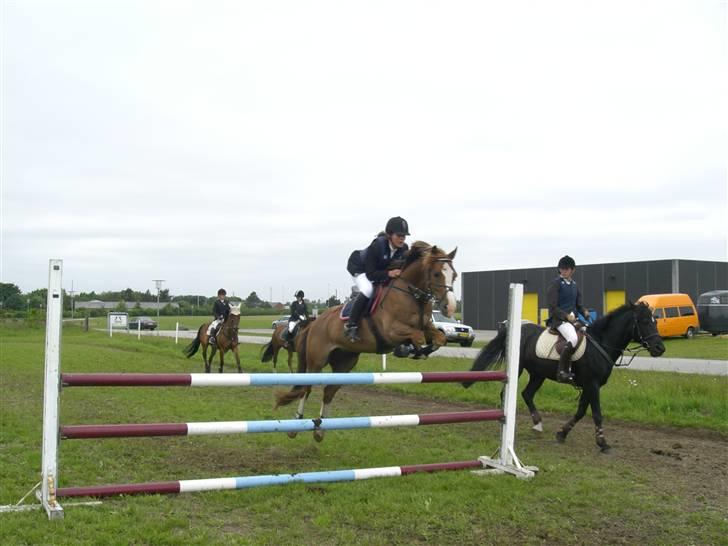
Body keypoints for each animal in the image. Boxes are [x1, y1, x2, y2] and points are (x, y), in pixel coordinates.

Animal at [276, 240, 458, 440]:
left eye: (455, 276)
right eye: (436, 274)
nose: (450, 307)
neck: (411, 294)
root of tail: (314, 323)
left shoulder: (427, 328)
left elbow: (440, 338)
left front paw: (421, 352)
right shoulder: (391, 331)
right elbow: (416, 337)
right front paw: (408, 349)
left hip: (345, 361)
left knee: (329, 390)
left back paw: (319, 429)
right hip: (317, 360)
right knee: (306, 388)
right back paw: (296, 425)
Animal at [466, 298, 664, 450]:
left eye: (655, 321)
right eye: (644, 321)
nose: (660, 348)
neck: (600, 344)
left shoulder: (590, 386)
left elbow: (581, 411)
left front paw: (562, 433)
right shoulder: (592, 384)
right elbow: (596, 413)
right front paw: (602, 442)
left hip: (538, 374)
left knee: (527, 394)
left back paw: (537, 424)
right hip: (519, 369)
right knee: (507, 393)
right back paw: (507, 421)